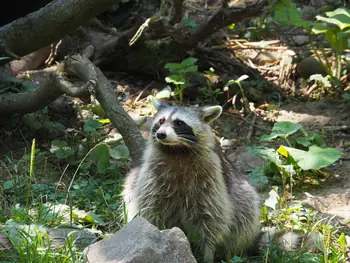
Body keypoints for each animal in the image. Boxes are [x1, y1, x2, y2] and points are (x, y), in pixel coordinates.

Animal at [121, 98, 262, 262]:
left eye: (179, 123)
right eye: (161, 121)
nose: (161, 134)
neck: (177, 150)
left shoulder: (211, 178)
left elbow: (213, 216)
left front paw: (208, 252)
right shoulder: (152, 175)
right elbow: (150, 206)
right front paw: (155, 232)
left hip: (241, 196)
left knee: (245, 207)